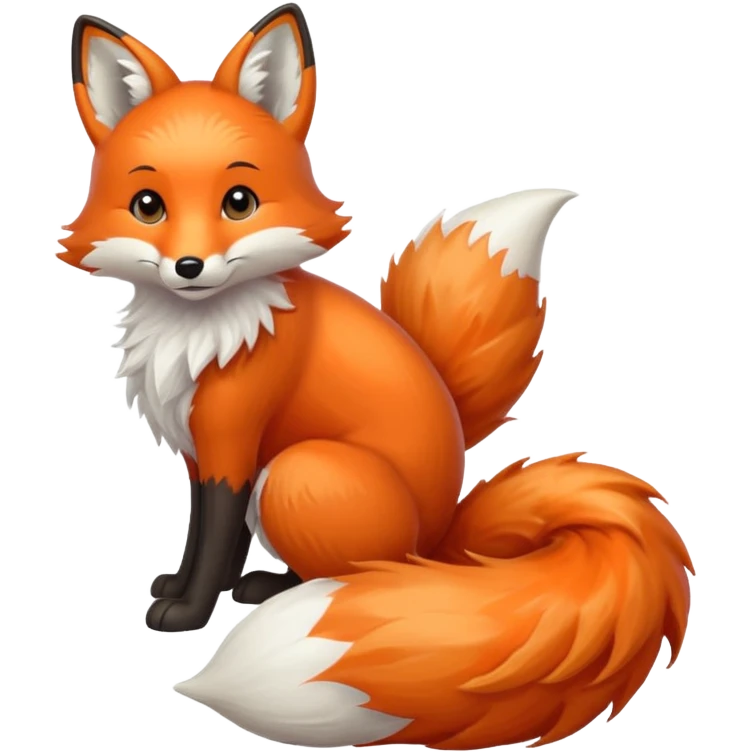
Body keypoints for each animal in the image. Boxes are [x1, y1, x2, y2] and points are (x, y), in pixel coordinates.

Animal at [59, 4, 694, 749]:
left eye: (239, 201)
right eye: (148, 205)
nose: (189, 267)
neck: (198, 333)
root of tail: (445, 538)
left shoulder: (233, 443)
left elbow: (215, 541)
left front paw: (187, 615)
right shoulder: (198, 447)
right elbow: (204, 538)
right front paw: (176, 590)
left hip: (298, 472)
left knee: (357, 568)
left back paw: (279, 592)